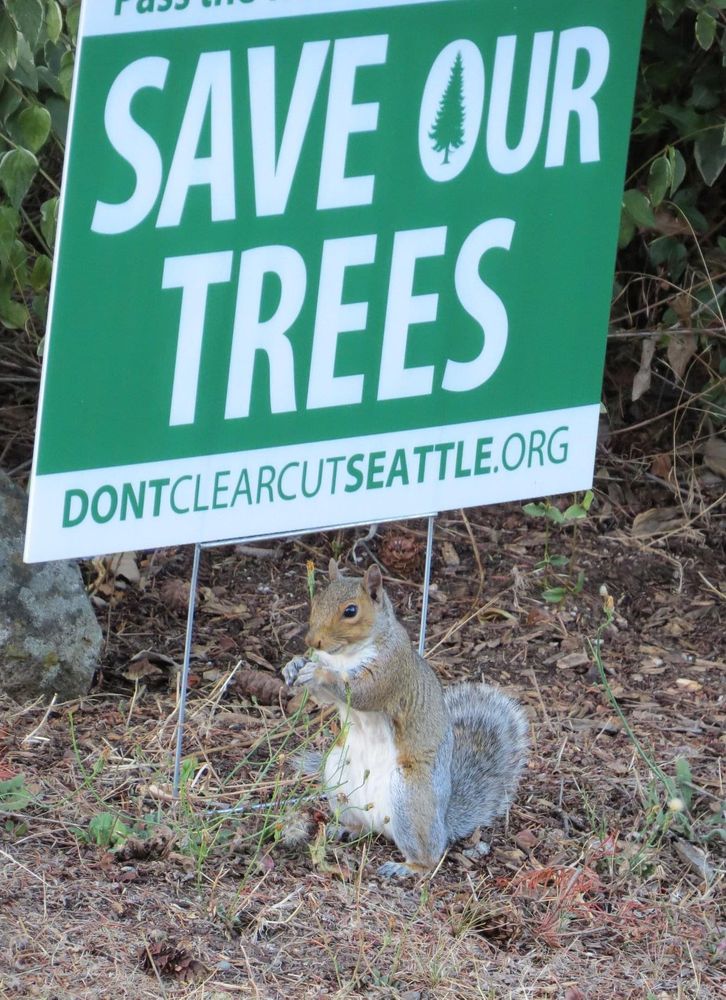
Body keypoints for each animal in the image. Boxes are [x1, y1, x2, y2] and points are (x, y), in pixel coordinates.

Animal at [282, 560, 529, 878]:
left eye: (351, 611)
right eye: (318, 599)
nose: (312, 641)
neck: (346, 656)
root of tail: (443, 822)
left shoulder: (391, 670)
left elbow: (360, 692)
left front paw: (320, 673)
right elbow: (323, 698)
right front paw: (294, 665)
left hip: (410, 795)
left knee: (430, 856)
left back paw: (406, 867)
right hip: (337, 775)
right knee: (361, 826)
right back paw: (344, 829)